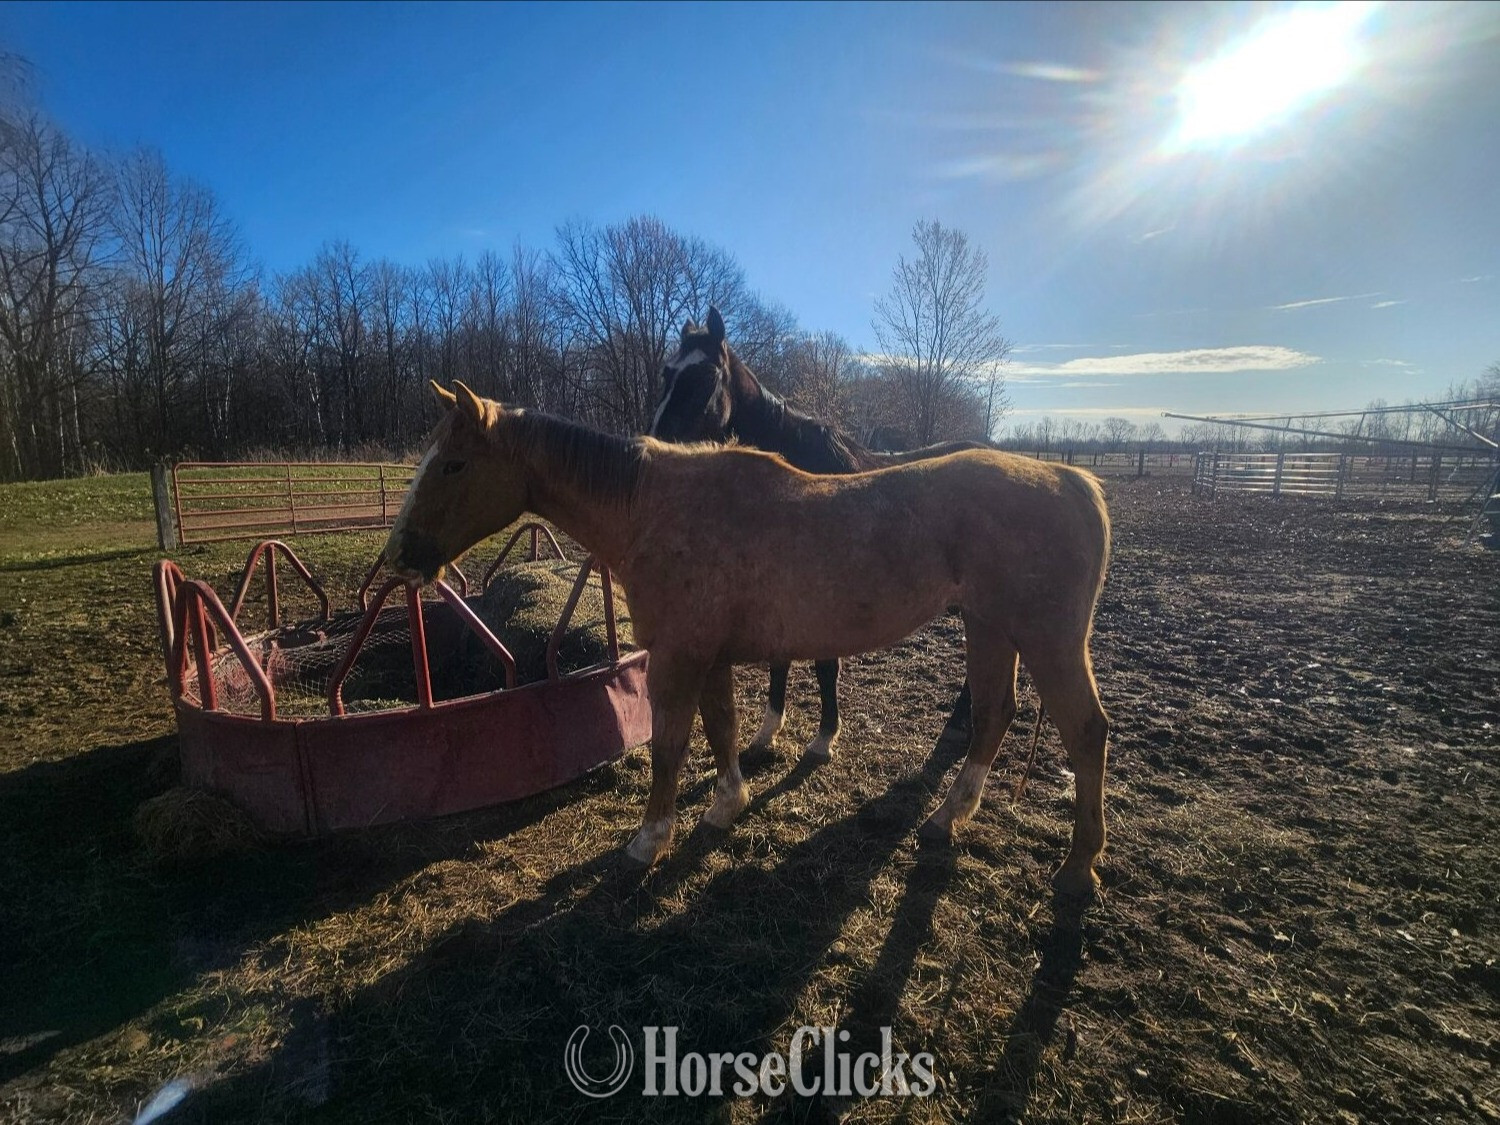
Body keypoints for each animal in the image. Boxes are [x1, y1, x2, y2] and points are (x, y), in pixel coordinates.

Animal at [384, 381, 1112, 897]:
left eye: (453, 465)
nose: (400, 555)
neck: (656, 508)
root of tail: (1076, 481)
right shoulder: (709, 656)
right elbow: (722, 728)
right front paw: (725, 807)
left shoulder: (677, 658)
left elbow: (672, 746)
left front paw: (649, 841)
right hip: (990, 627)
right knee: (994, 714)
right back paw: (948, 819)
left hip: (1045, 638)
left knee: (1085, 730)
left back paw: (1079, 869)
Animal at [650, 307, 987, 760]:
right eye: (667, 374)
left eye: (704, 376)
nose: (655, 447)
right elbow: (779, 659)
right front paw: (767, 732)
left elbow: (826, 666)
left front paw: (824, 738)